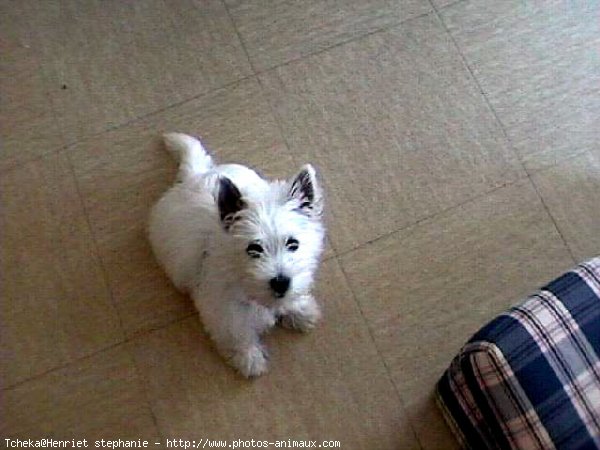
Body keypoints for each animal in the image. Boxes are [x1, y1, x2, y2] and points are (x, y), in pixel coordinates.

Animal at [150, 133, 328, 376]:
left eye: (293, 244)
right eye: (254, 248)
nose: (281, 282)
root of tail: (194, 175)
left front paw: (300, 311)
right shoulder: (224, 310)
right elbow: (238, 334)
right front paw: (249, 359)